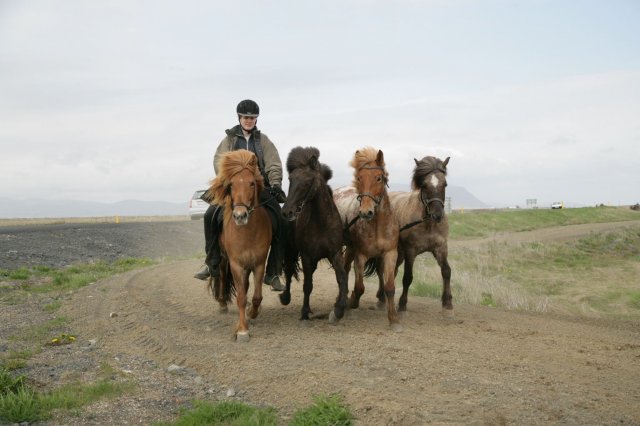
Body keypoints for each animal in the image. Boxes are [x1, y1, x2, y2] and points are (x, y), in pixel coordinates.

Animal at [208, 150, 272, 342]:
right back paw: (222, 303)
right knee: (222, 276)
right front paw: (242, 330)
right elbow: (241, 297)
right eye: (231, 184)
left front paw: (251, 313)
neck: (247, 232)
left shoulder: (258, 264)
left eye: (252, 183)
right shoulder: (236, 264)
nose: (240, 215)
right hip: (223, 259)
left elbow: (257, 296)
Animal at [282, 146, 350, 322]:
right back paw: (285, 297)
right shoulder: (306, 256)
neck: (321, 223)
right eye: (290, 180)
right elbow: (307, 285)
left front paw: (338, 310)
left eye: (307, 182)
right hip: (292, 251)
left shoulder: (335, 254)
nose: (286, 211)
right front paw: (304, 312)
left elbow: (342, 278)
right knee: (289, 271)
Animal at [336, 148, 400, 332]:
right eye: (359, 178)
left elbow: (390, 287)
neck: (377, 226)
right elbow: (359, 287)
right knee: (344, 271)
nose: (366, 212)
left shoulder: (390, 254)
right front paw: (351, 303)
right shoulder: (361, 256)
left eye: (379, 178)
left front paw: (394, 320)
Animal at [372, 156, 452, 316]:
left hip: (398, 253)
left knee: (392, 271)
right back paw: (381, 299)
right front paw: (402, 305)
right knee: (381, 270)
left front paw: (447, 305)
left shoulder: (441, 248)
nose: (437, 215)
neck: (427, 223)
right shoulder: (411, 251)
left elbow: (446, 271)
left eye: (445, 184)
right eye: (424, 185)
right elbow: (408, 278)